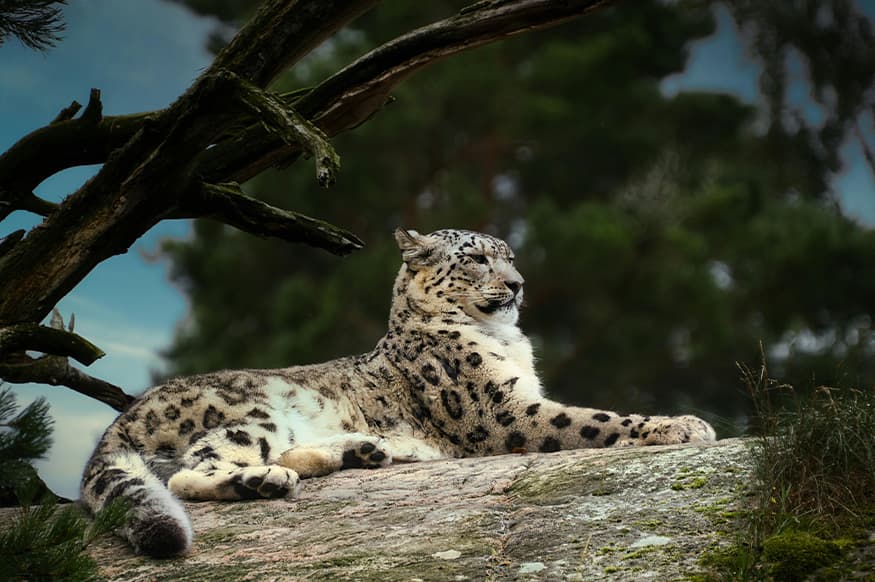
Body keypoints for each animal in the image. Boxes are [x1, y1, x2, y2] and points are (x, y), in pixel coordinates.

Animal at [80, 227, 716, 558]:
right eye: (476, 258)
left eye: (510, 257)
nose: (517, 285)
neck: (507, 341)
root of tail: (124, 414)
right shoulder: (503, 411)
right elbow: (589, 419)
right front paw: (680, 424)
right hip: (253, 411)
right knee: (193, 469)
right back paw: (262, 481)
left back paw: (361, 449)